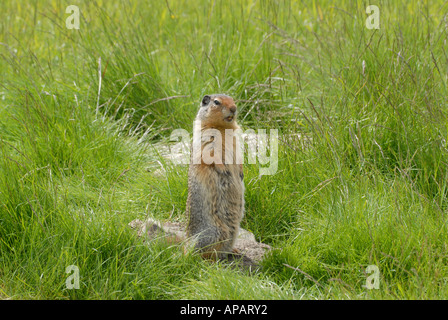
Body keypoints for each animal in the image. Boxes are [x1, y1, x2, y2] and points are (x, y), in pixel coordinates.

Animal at [186, 94, 245, 260]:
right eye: (216, 102)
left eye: (233, 100)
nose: (234, 108)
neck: (222, 128)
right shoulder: (207, 139)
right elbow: (212, 156)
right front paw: (224, 170)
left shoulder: (236, 142)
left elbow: (239, 157)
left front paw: (240, 173)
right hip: (215, 232)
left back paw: (234, 250)